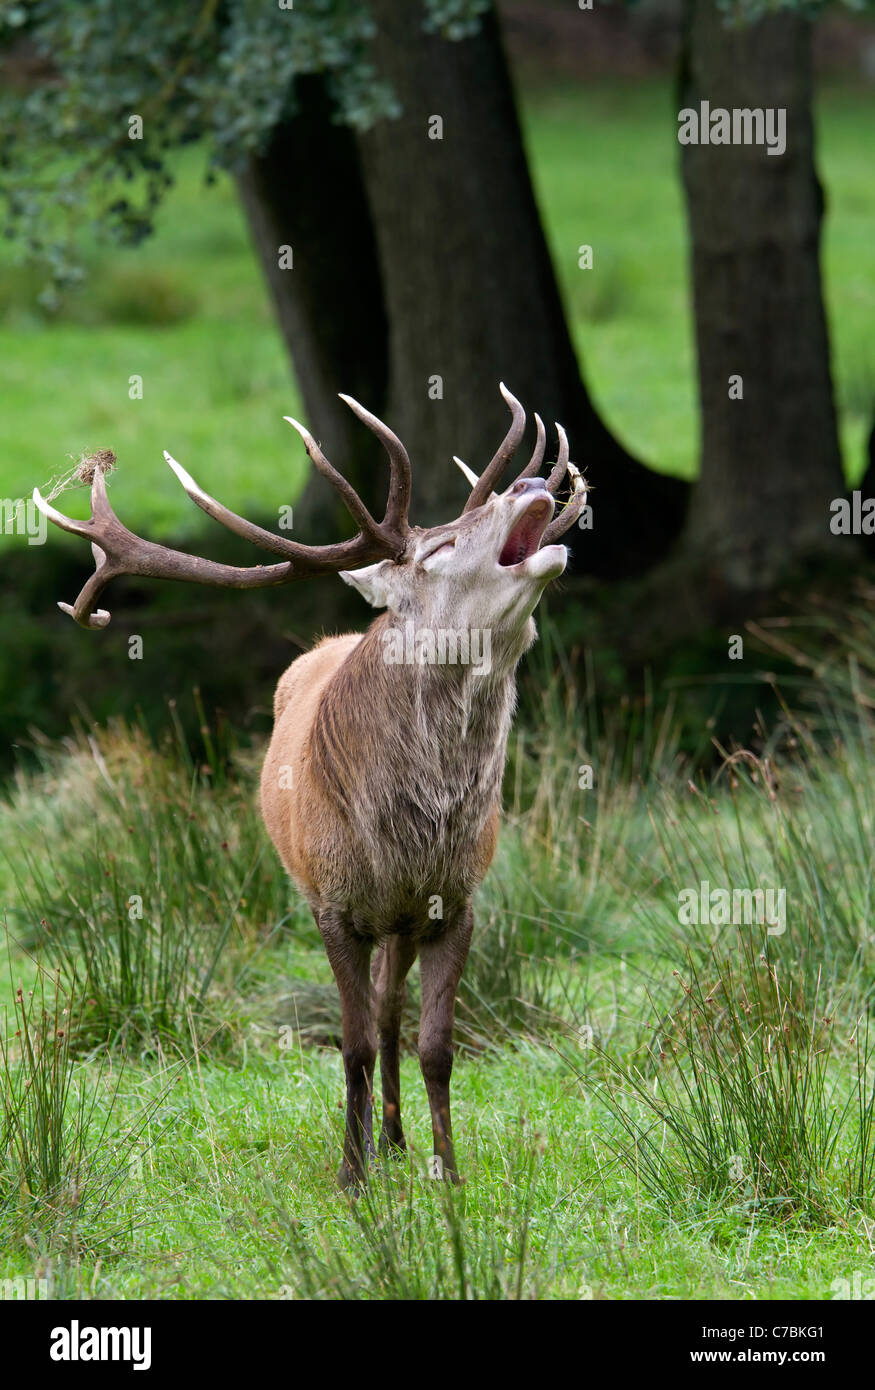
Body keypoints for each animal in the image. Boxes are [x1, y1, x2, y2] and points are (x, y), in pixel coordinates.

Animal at [33, 384, 586, 1189]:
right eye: (439, 548)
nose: (532, 483)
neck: (411, 832)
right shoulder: (331, 904)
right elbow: (349, 1044)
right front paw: (350, 1178)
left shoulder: (457, 901)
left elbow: (437, 1045)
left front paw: (447, 1173)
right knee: (371, 1022)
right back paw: (374, 1147)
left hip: (401, 922)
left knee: (390, 1011)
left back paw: (395, 1140)